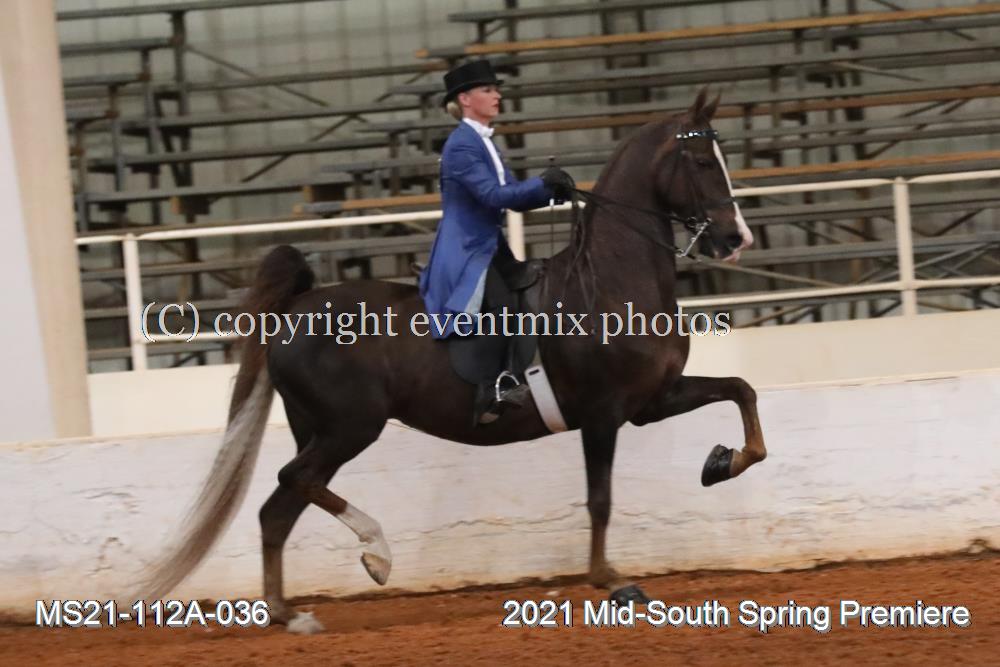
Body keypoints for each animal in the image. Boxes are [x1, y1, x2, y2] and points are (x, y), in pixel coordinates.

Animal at [136, 89, 766, 629]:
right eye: (701, 161)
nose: (737, 238)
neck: (611, 280)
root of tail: (296, 307)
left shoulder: (651, 401)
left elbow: (742, 390)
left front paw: (722, 462)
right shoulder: (603, 414)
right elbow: (601, 500)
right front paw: (610, 580)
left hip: (319, 430)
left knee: (279, 509)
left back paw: (290, 615)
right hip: (349, 427)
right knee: (293, 482)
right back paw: (377, 554)